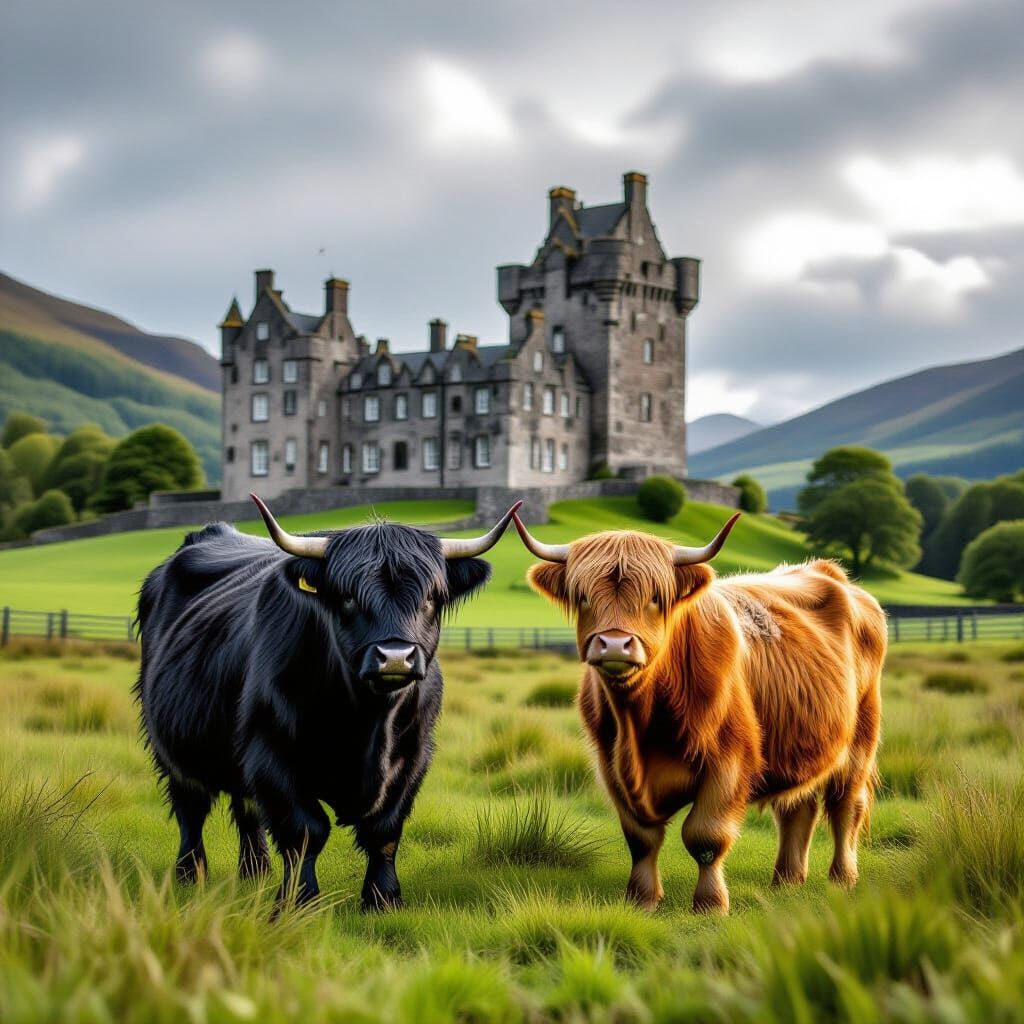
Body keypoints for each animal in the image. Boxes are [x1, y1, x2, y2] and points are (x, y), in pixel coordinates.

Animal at [136, 497, 521, 911]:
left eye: (431, 597)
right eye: (348, 598)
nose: (395, 658)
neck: (366, 721)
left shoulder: (414, 756)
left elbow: (385, 830)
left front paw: (383, 899)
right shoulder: (271, 752)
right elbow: (305, 831)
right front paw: (299, 902)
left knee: (246, 809)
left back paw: (256, 872)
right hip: (171, 745)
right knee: (191, 807)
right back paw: (191, 874)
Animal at [512, 512, 885, 915]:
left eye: (655, 597)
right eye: (582, 596)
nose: (614, 644)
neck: (641, 726)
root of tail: (828, 571)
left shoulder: (729, 762)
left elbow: (705, 836)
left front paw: (710, 903)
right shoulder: (610, 766)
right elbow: (641, 839)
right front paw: (641, 899)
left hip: (860, 741)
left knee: (846, 806)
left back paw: (842, 879)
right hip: (798, 742)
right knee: (796, 809)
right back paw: (786, 881)